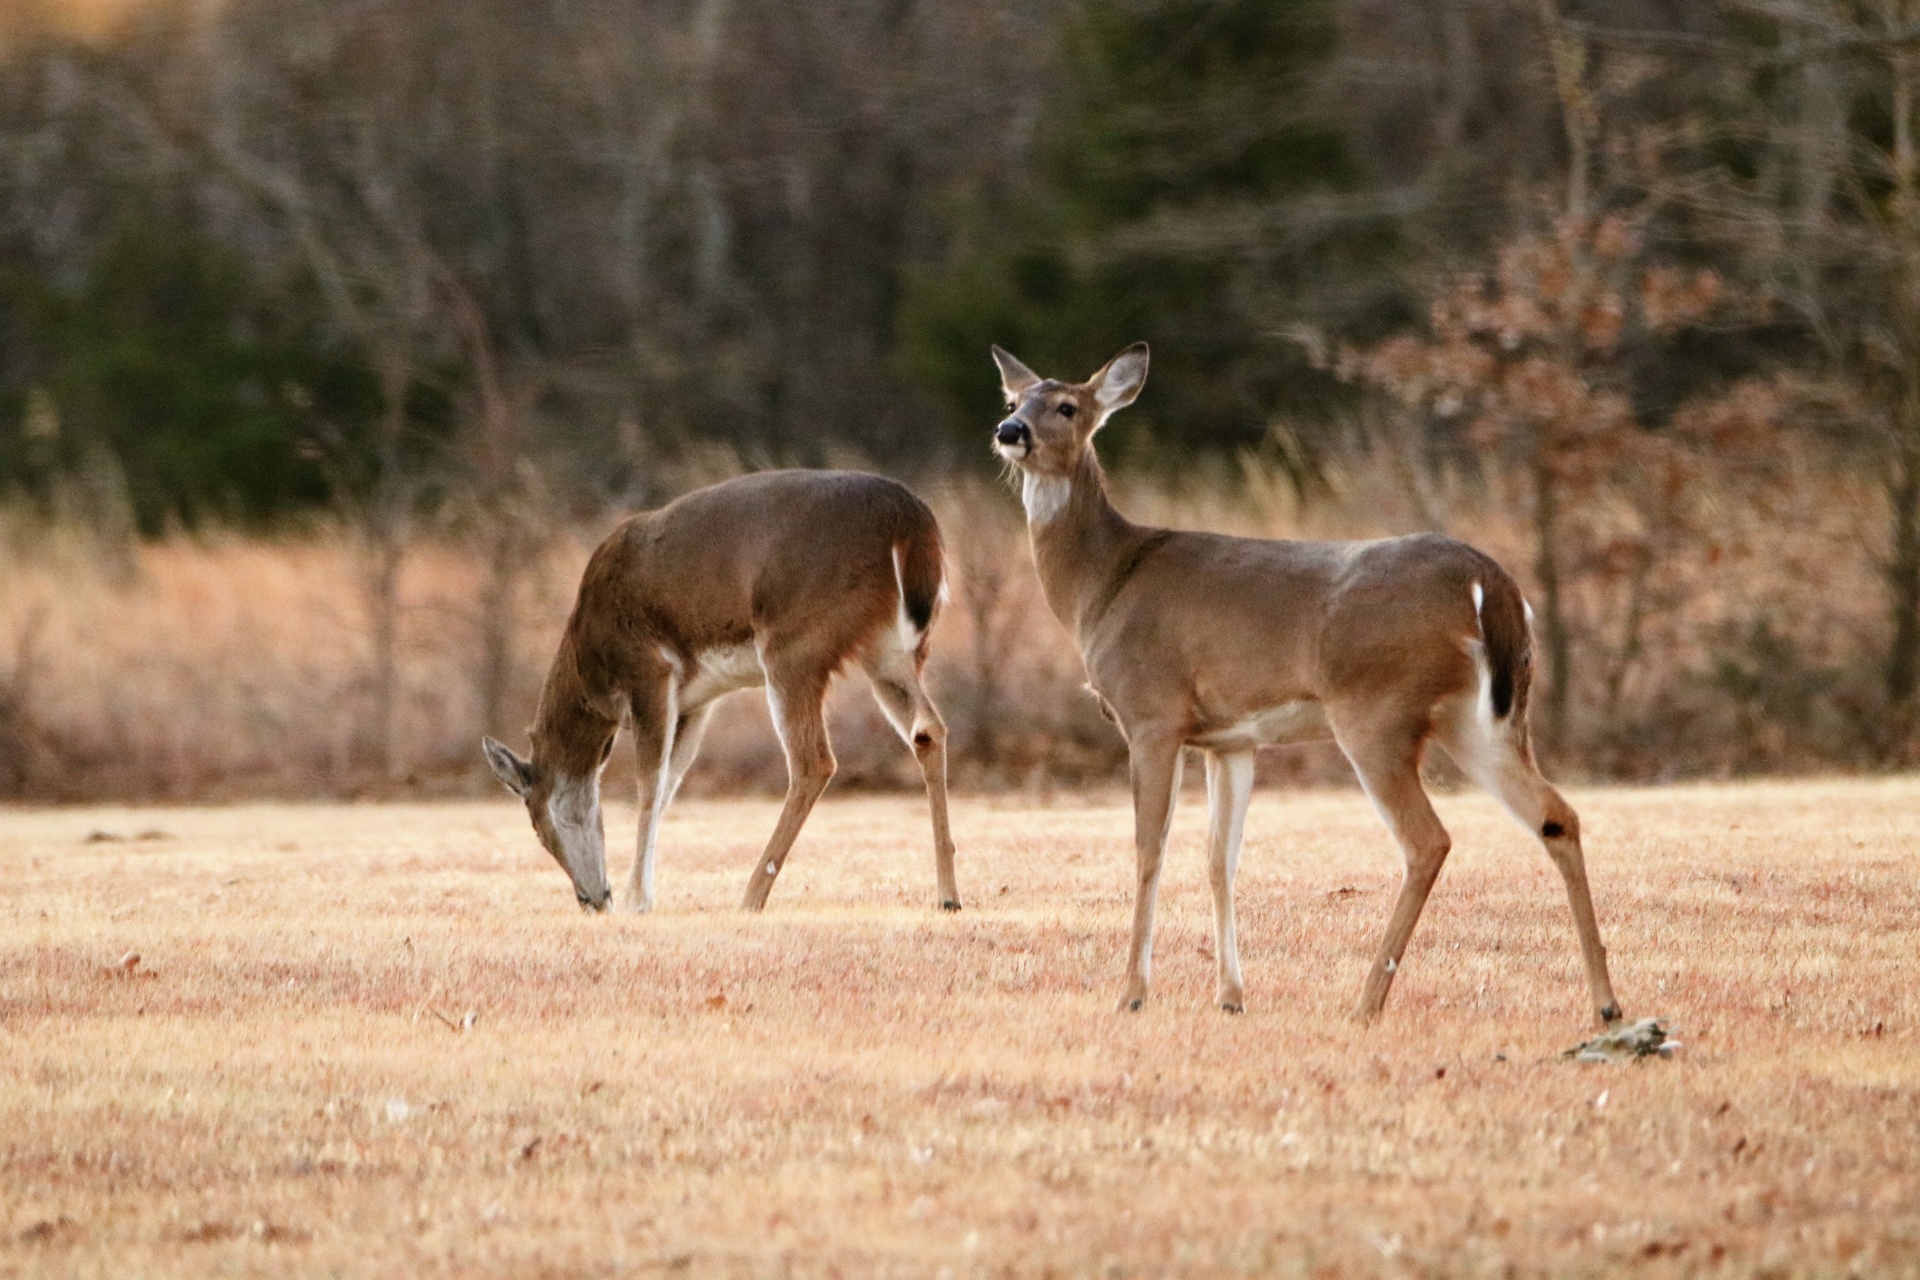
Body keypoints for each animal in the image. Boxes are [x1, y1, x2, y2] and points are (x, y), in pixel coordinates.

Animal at [480, 475, 960, 917]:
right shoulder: (697, 700)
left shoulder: (649, 670)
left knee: (814, 762)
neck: (589, 665)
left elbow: (649, 784)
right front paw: (641, 893)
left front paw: (637, 900)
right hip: (890, 650)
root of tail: (910, 523)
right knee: (928, 729)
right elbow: (669, 783)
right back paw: (948, 896)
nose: (591, 900)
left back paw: (750, 897)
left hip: (794, 646)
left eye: (540, 824)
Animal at [990, 345, 1620, 1028]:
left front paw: (1132, 993)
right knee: (1556, 815)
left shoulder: (1152, 714)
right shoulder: (1229, 739)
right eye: (1013, 399)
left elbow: (1148, 848)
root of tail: (1490, 582)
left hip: (1375, 711)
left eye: (1066, 406)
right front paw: (1231, 996)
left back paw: (1366, 1003)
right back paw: (1606, 1004)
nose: (1009, 431)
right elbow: (1221, 857)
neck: (1103, 585)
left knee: (1429, 840)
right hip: (1481, 719)